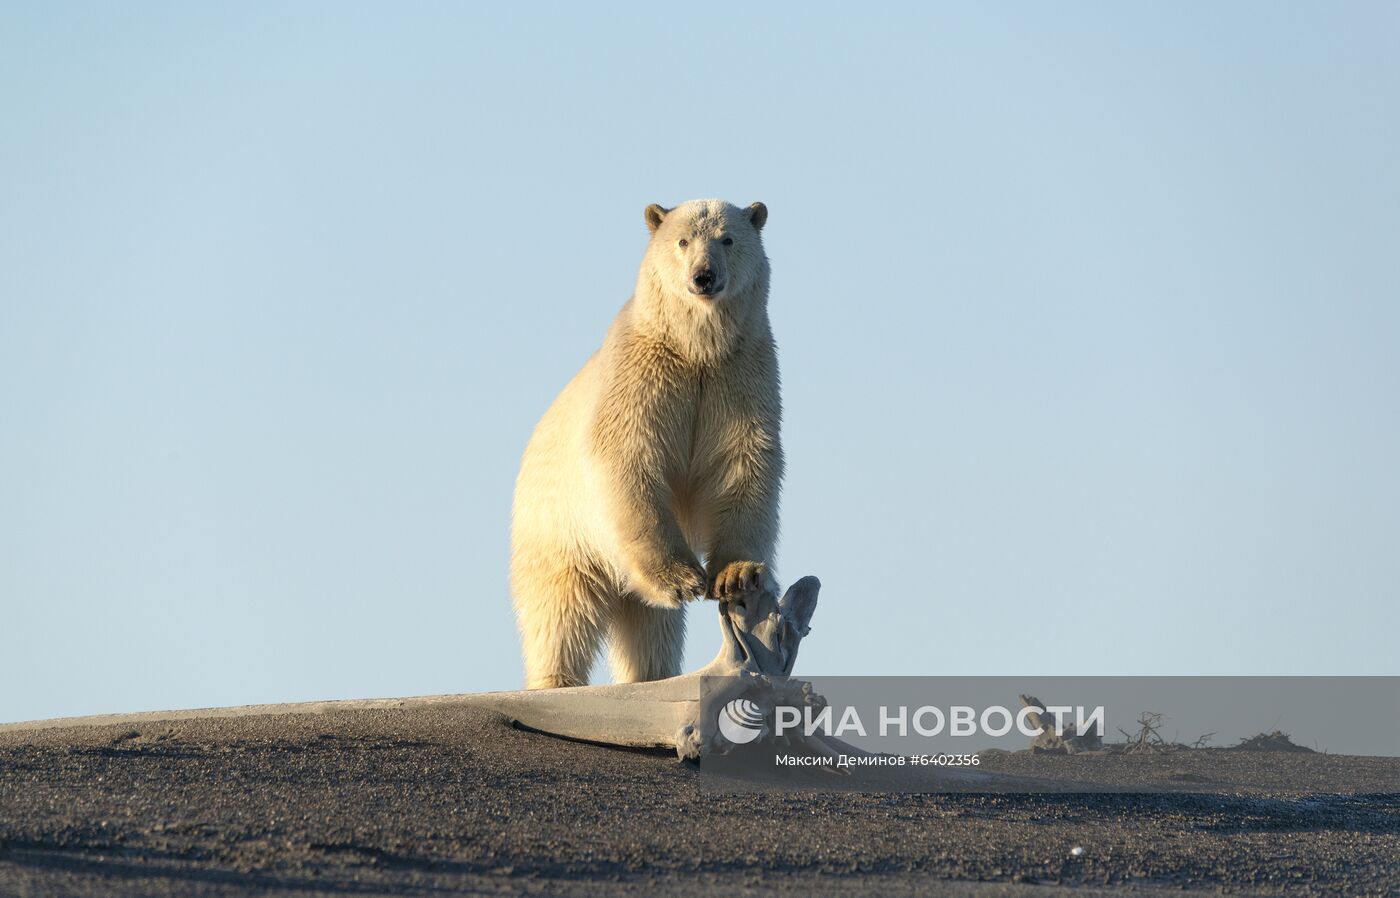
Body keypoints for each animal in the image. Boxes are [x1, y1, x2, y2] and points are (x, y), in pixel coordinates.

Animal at [509, 197, 784, 686]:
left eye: (728, 239)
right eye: (683, 240)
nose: (703, 276)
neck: (696, 349)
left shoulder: (740, 377)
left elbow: (743, 462)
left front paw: (737, 576)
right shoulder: (644, 377)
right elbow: (629, 458)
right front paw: (682, 579)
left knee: (649, 627)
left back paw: (650, 673)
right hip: (556, 530)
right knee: (562, 613)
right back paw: (557, 681)